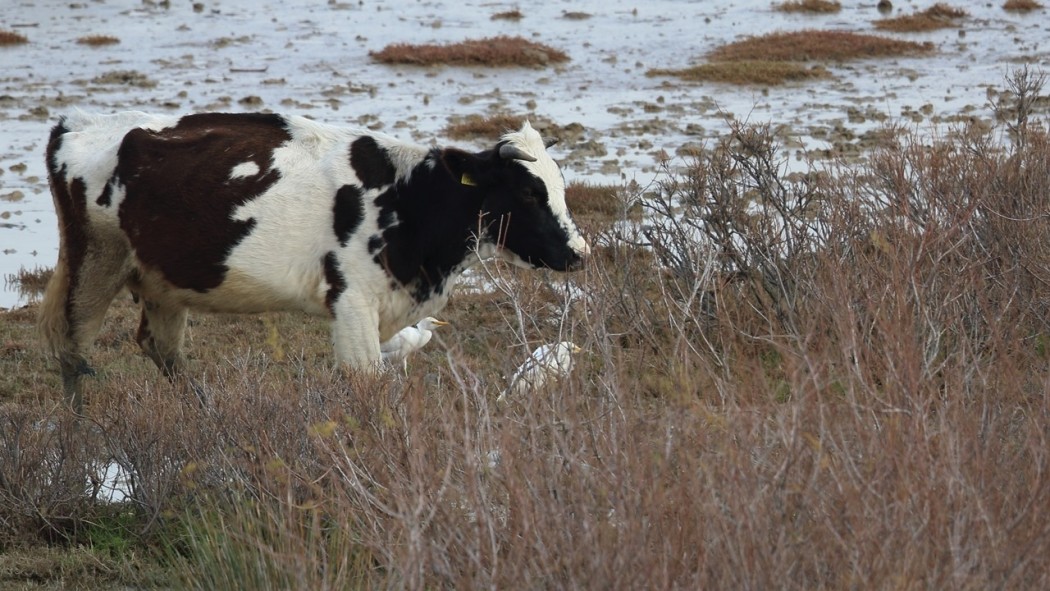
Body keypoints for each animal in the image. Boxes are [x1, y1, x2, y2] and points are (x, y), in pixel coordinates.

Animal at [37, 111, 588, 409]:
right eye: (528, 192)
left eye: (560, 186)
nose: (579, 254)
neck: (407, 197)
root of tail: (76, 122)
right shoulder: (353, 303)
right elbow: (366, 384)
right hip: (95, 260)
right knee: (73, 350)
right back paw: (78, 443)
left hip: (162, 280)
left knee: (162, 349)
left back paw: (206, 412)